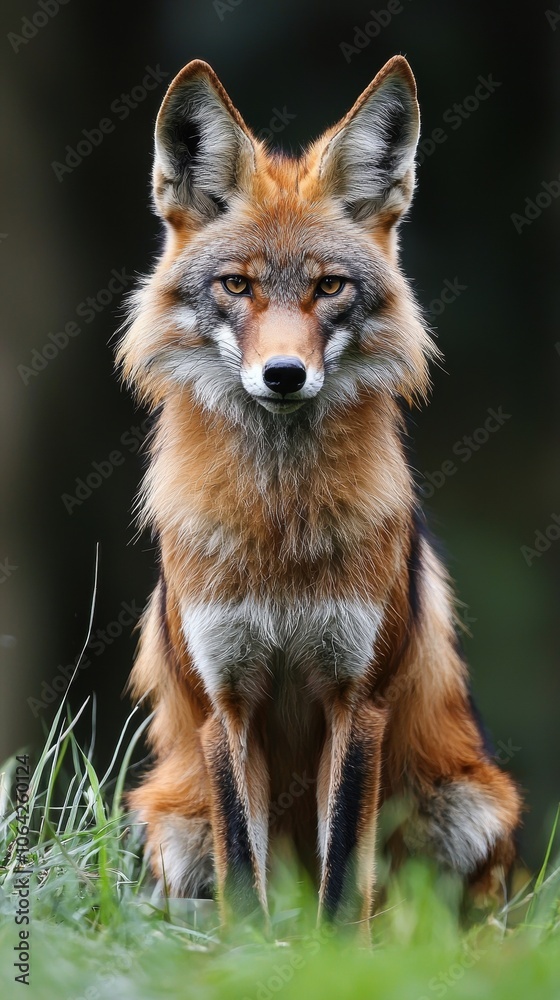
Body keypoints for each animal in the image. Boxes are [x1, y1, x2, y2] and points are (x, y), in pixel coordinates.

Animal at [117, 54, 521, 927]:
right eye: (237, 286)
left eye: (329, 287)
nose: (283, 375)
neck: (280, 533)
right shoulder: (225, 698)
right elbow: (245, 868)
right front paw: (249, 952)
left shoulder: (356, 696)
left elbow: (340, 873)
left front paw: (333, 952)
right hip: (170, 824)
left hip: (470, 804)